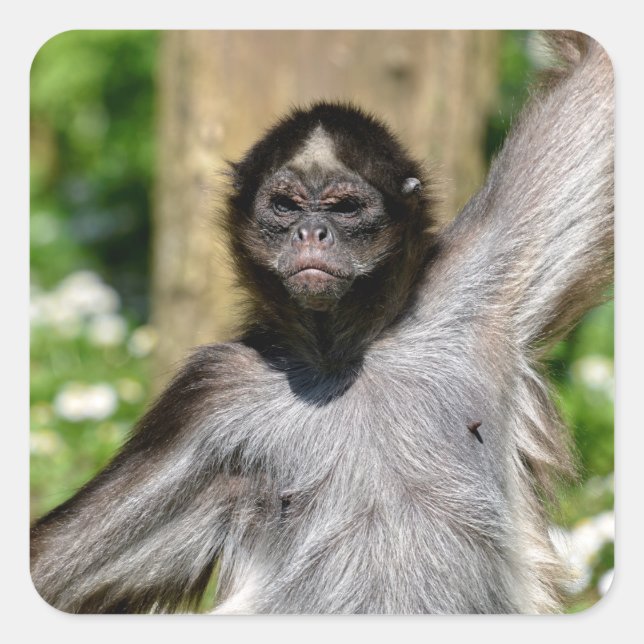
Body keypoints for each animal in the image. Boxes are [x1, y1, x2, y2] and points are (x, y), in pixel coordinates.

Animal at [30, 31, 613, 614]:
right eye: (286, 206)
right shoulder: (212, 391)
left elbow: (598, 74)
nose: (311, 232)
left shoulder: (470, 287)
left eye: (345, 208)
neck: (342, 360)